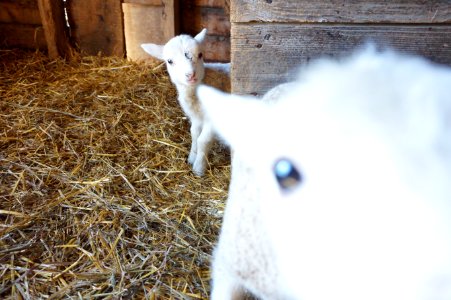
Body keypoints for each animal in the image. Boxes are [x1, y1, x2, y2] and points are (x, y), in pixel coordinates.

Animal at [141, 28, 231, 176]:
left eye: (200, 54)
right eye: (170, 61)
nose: (190, 74)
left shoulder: (213, 116)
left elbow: (203, 140)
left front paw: (199, 168)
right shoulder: (196, 117)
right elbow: (194, 134)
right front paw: (191, 158)